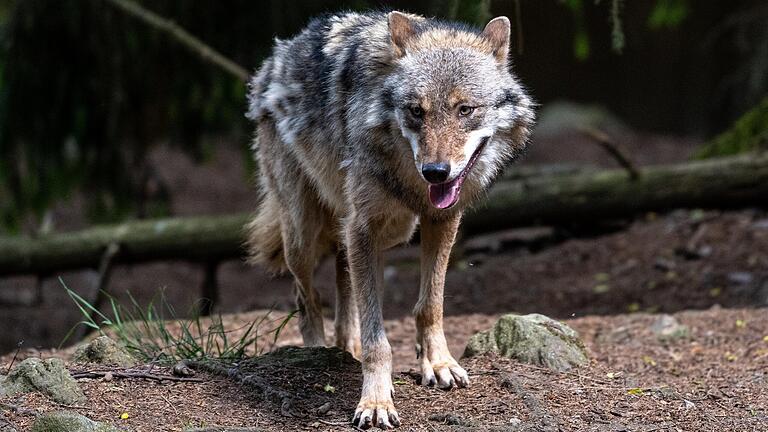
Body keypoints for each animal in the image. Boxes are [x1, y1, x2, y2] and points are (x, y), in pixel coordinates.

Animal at [246, 9, 536, 428]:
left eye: (465, 109)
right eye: (416, 111)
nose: (436, 172)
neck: (410, 184)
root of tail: (273, 61)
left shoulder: (440, 220)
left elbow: (430, 306)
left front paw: (438, 364)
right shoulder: (363, 229)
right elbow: (377, 338)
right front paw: (376, 401)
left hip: (378, 233)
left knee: (343, 289)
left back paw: (344, 350)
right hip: (304, 235)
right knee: (307, 297)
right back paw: (318, 351)